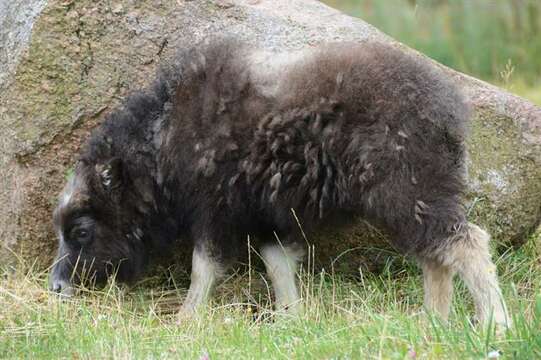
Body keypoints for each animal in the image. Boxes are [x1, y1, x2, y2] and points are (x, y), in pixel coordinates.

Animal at [48, 37, 508, 326]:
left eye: (82, 230)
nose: (56, 287)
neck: (163, 139)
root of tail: (450, 108)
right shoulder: (266, 216)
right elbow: (278, 263)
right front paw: (291, 317)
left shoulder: (215, 212)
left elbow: (205, 266)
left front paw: (186, 317)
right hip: (413, 202)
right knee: (435, 254)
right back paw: (434, 320)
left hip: (409, 193)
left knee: (466, 242)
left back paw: (494, 324)